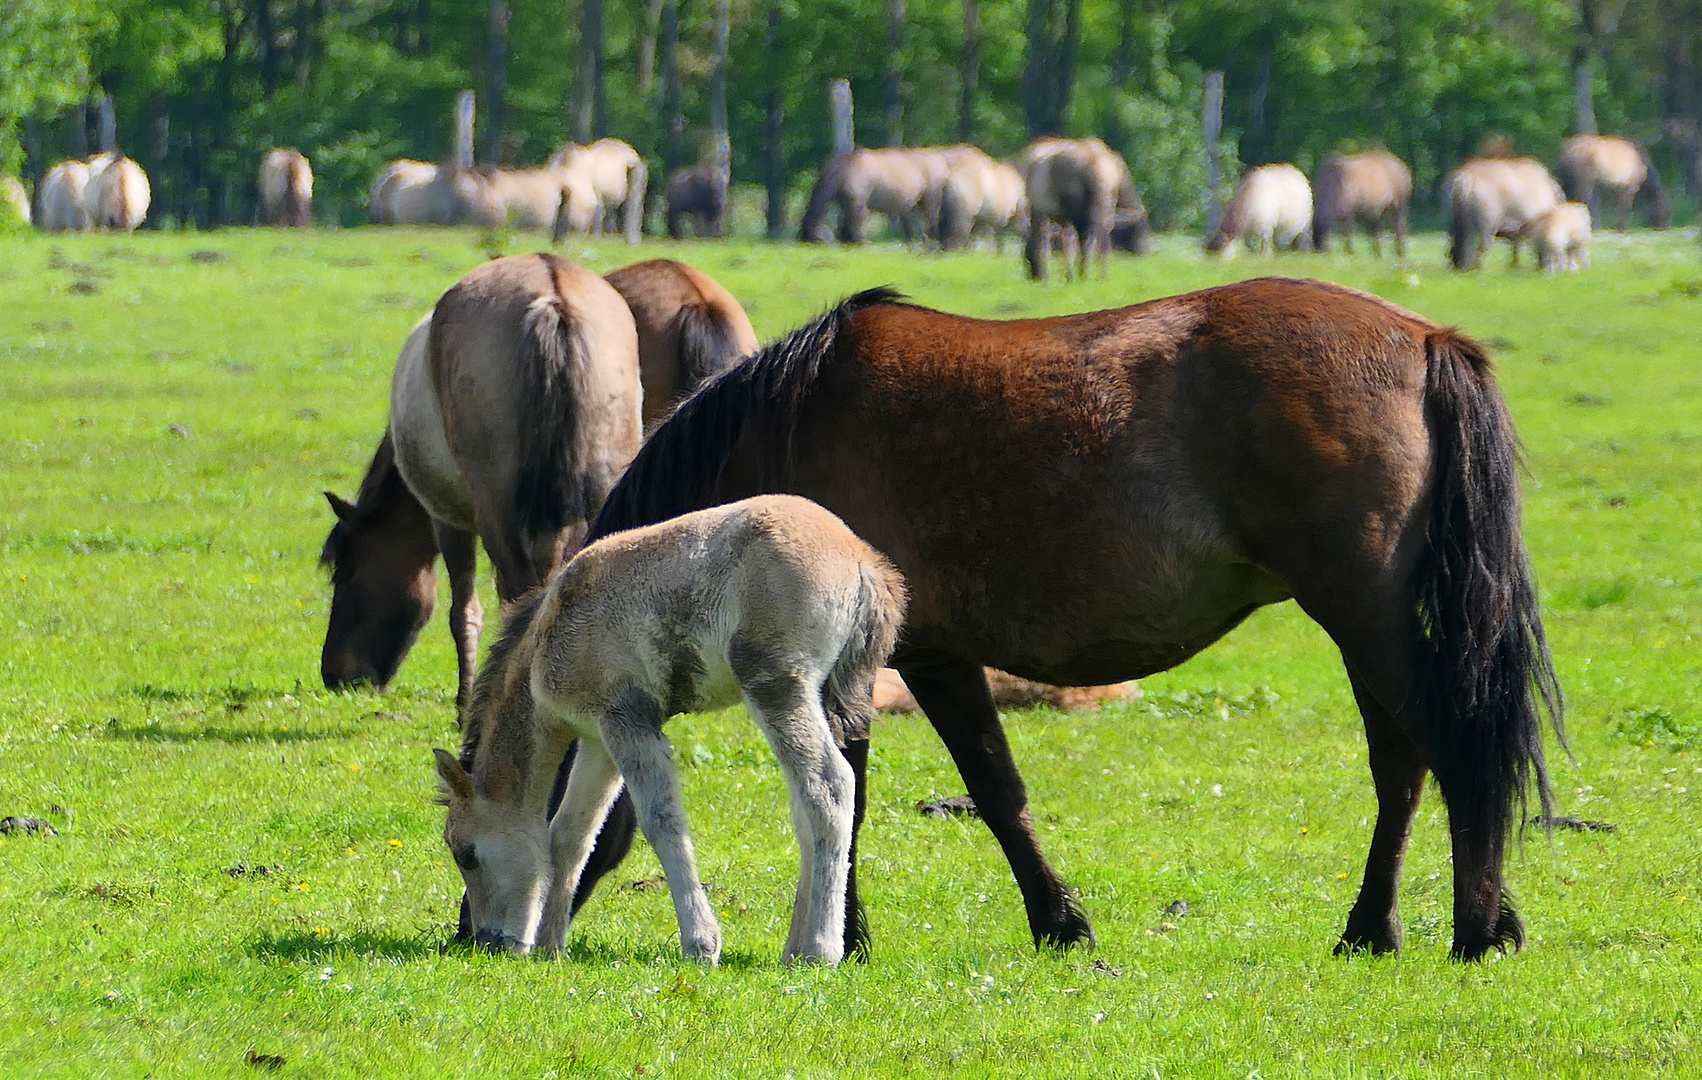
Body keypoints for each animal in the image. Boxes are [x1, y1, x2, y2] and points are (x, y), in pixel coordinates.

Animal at [435, 493, 905, 966]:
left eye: (466, 854)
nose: (488, 942)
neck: (547, 638)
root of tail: (862, 561)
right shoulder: (598, 740)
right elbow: (570, 834)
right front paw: (552, 946)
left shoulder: (628, 720)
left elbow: (662, 819)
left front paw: (701, 944)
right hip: (812, 696)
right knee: (804, 806)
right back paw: (793, 948)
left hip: (776, 685)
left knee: (829, 787)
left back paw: (819, 949)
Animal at [565, 278, 1559, 966]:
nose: (516, 934)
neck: (783, 431)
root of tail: (1424, 340)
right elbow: (953, 791)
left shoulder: (903, 662)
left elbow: (937, 790)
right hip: (1368, 626)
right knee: (1406, 766)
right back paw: (1380, 928)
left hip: (1365, 618)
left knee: (1450, 749)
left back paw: (1473, 927)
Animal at [793, 147, 953, 244]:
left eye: (815, 238)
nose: (805, 242)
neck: (845, 168)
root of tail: (941, 161)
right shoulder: (847, 203)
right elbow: (845, 224)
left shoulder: (859, 203)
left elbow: (856, 225)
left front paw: (860, 243)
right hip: (910, 206)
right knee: (911, 226)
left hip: (930, 200)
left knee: (932, 221)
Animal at [1021, 136, 1130, 280]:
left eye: (1026, 257)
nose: (1033, 277)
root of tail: (1093, 162)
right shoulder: (1059, 217)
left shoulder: (1042, 213)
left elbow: (1052, 243)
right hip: (1106, 202)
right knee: (1102, 235)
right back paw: (1100, 274)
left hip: (1076, 209)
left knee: (1084, 239)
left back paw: (1082, 273)